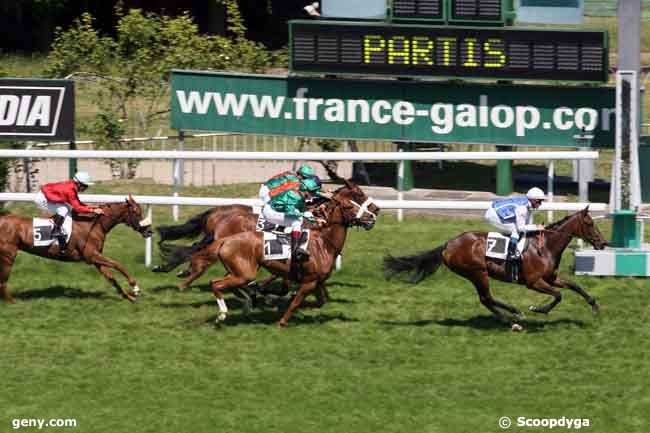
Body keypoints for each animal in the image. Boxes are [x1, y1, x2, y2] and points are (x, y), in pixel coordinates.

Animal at [0, 194, 153, 302]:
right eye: (136, 212)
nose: (149, 231)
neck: (95, 224)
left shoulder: (95, 259)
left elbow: (111, 278)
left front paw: (130, 297)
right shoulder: (91, 255)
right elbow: (118, 264)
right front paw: (135, 287)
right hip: (9, 255)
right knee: (3, 282)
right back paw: (13, 302)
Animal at [175, 181, 378, 326]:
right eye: (356, 197)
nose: (374, 214)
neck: (324, 242)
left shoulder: (314, 280)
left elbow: (319, 300)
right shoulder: (307, 280)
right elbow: (293, 299)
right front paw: (281, 318)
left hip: (239, 270)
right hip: (244, 272)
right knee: (216, 283)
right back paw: (224, 311)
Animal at [382, 207, 604, 324]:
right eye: (590, 224)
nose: (602, 243)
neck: (546, 246)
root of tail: (448, 245)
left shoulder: (551, 277)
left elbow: (575, 286)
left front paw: (594, 306)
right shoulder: (533, 282)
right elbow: (558, 295)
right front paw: (538, 309)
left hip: (476, 274)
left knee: (485, 299)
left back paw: (510, 318)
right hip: (477, 272)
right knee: (486, 298)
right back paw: (513, 317)